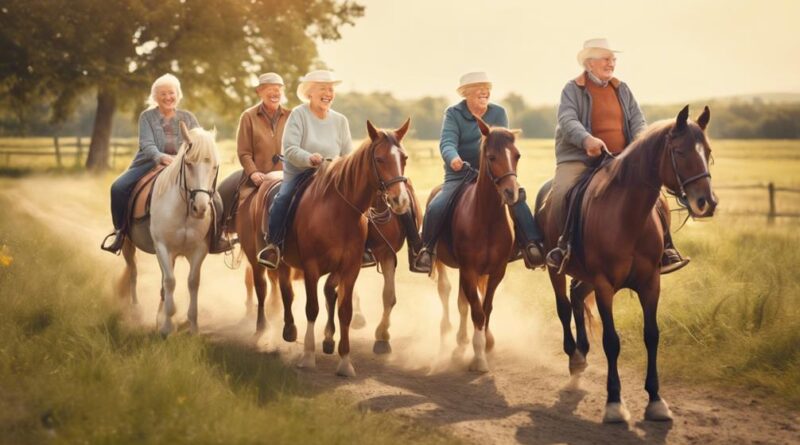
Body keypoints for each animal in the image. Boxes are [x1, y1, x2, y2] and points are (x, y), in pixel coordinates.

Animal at [119, 122, 220, 336]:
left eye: (214, 167)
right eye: (188, 164)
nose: (200, 208)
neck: (184, 211)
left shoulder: (199, 250)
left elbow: (192, 282)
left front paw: (193, 326)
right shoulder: (163, 248)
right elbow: (171, 282)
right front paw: (167, 326)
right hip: (127, 244)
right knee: (133, 271)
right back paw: (136, 309)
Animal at [428, 118, 520, 372]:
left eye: (517, 155)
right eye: (492, 157)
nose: (511, 192)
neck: (486, 217)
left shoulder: (496, 272)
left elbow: (485, 308)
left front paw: (486, 344)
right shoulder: (469, 270)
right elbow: (477, 312)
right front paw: (479, 358)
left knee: (463, 303)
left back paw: (462, 341)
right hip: (442, 263)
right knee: (446, 292)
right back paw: (448, 333)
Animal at [536, 105, 716, 424]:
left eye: (707, 151)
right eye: (680, 151)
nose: (706, 202)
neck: (627, 215)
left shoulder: (650, 284)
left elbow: (652, 335)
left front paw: (656, 400)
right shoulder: (605, 286)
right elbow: (611, 341)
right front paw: (614, 403)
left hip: (586, 278)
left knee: (576, 296)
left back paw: (582, 354)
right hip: (558, 271)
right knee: (564, 307)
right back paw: (574, 359)